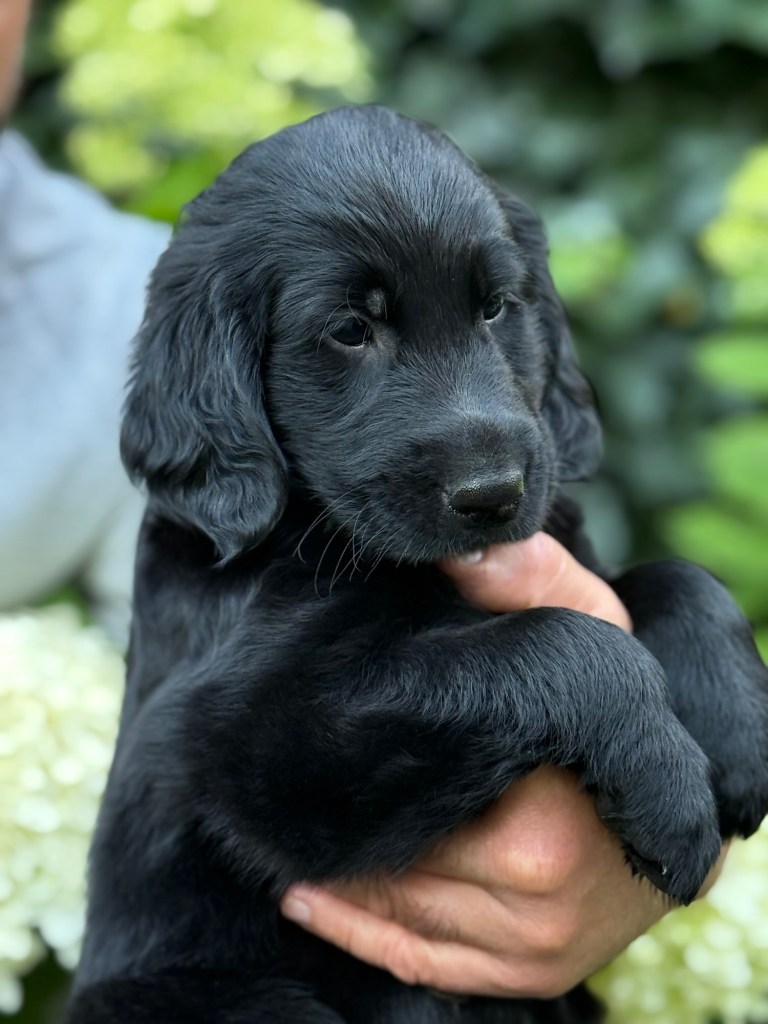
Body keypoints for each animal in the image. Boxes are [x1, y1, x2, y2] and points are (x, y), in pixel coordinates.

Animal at [67, 105, 768, 1023]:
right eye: (350, 330)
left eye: (497, 307)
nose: (493, 493)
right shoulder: (257, 741)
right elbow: (564, 643)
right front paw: (670, 791)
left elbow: (678, 578)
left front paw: (742, 737)